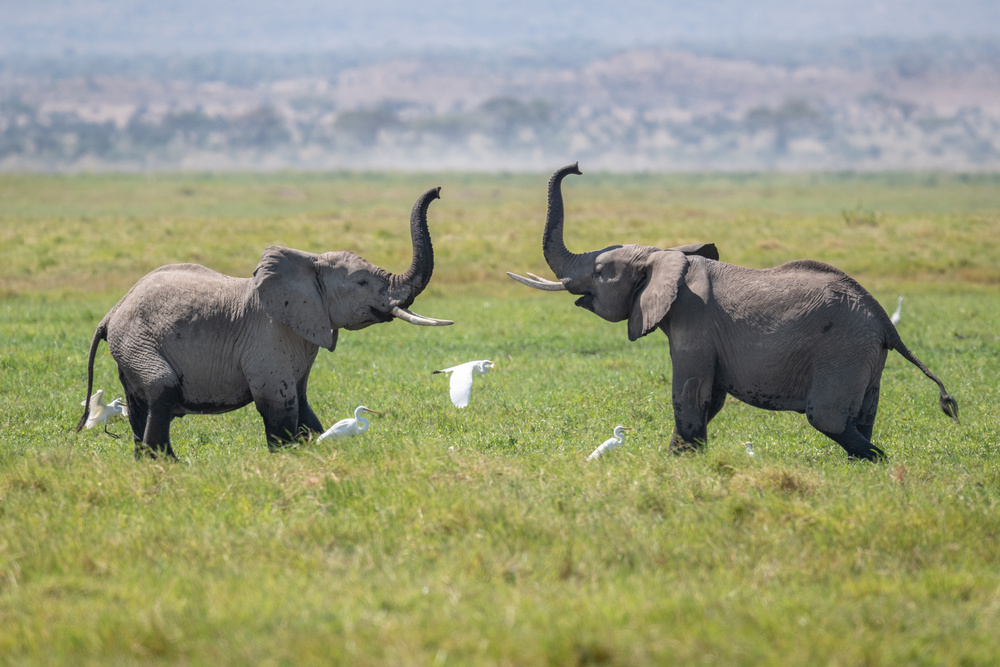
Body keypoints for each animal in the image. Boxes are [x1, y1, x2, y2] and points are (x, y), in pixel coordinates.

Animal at [78, 187, 454, 460]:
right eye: (362, 283)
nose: (438, 191)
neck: (309, 263)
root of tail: (111, 312)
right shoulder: (268, 337)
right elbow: (279, 402)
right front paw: (287, 458)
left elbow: (301, 401)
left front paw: (316, 448)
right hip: (138, 341)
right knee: (162, 388)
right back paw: (166, 464)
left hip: (129, 348)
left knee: (138, 404)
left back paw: (152, 463)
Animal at [512, 164, 956, 462]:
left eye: (603, 272)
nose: (577, 167)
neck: (666, 256)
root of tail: (884, 320)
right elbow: (711, 398)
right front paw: (682, 460)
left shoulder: (693, 322)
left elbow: (691, 392)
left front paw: (677, 462)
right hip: (867, 354)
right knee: (861, 415)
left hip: (842, 351)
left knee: (827, 418)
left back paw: (875, 460)